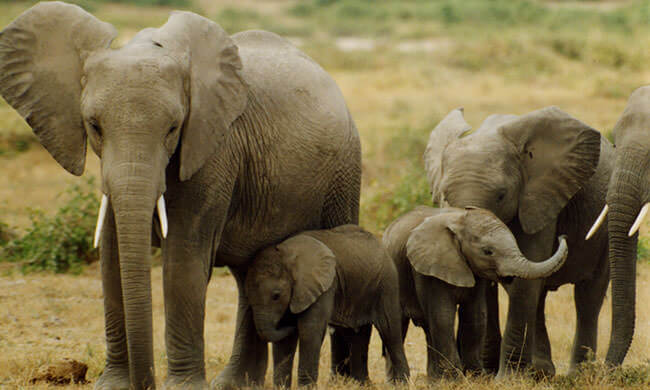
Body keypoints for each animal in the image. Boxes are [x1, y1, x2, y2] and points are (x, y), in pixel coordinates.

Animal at [0, 1, 362, 388]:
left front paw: (182, 386)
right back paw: (235, 384)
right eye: (94, 126)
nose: (146, 382)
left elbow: (182, 261)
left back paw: (343, 380)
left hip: (344, 171)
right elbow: (112, 258)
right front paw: (114, 385)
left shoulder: (214, 150)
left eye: (173, 129)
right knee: (250, 276)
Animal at [246, 225, 408, 386]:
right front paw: (281, 386)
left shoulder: (325, 286)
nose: (291, 325)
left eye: (276, 296)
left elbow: (310, 329)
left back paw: (402, 383)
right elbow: (284, 341)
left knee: (389, 331)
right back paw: (363, 384)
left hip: (387, 283)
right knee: (357, 334)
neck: (286, 254)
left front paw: (306, 387)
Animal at [382, 207, 564, 378]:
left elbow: (475, 316)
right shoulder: (428, 269)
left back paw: (434, 380)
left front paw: (476, 377)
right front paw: (454, 381)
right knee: (397, 327)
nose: (561, 236)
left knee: (428, 329)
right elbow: (443, 316)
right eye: (488, 251)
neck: (459, 220)